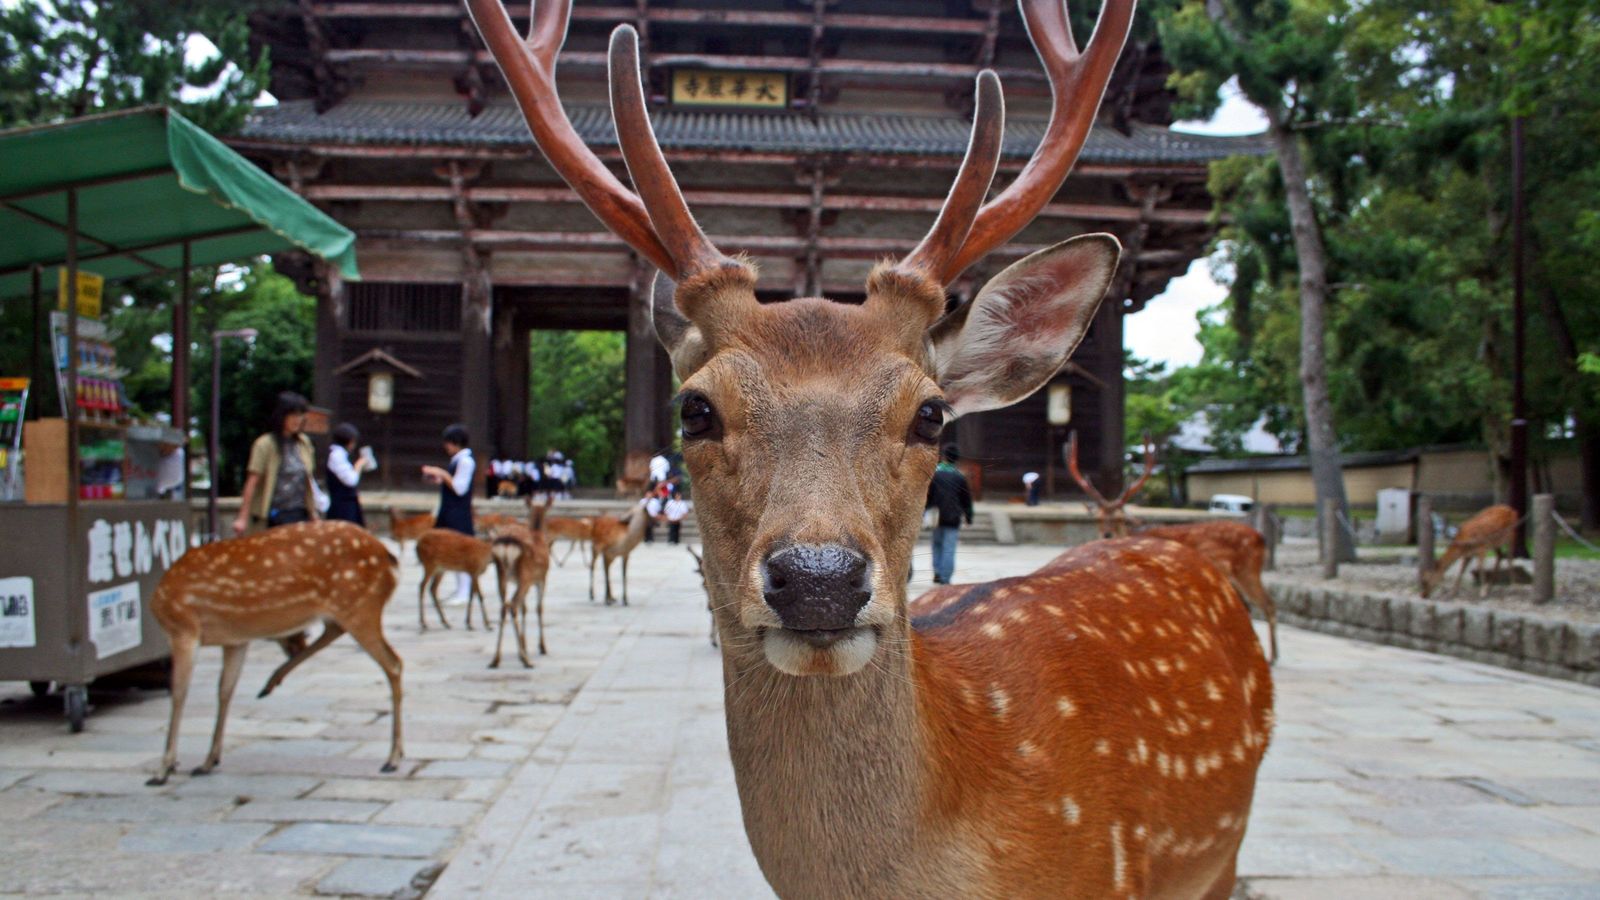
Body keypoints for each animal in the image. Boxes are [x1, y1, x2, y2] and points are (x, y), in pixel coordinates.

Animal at [147, 522, 403, 781]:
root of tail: (388, 559)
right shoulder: (235, 640)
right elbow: (225, 690)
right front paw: (208, 761)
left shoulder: (183, 629)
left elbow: (179, 693)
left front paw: (163, 769)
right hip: (349, 609)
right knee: (335, 631)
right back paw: (270, 682)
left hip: (360, 606)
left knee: (393, 662)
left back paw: (392, 758)